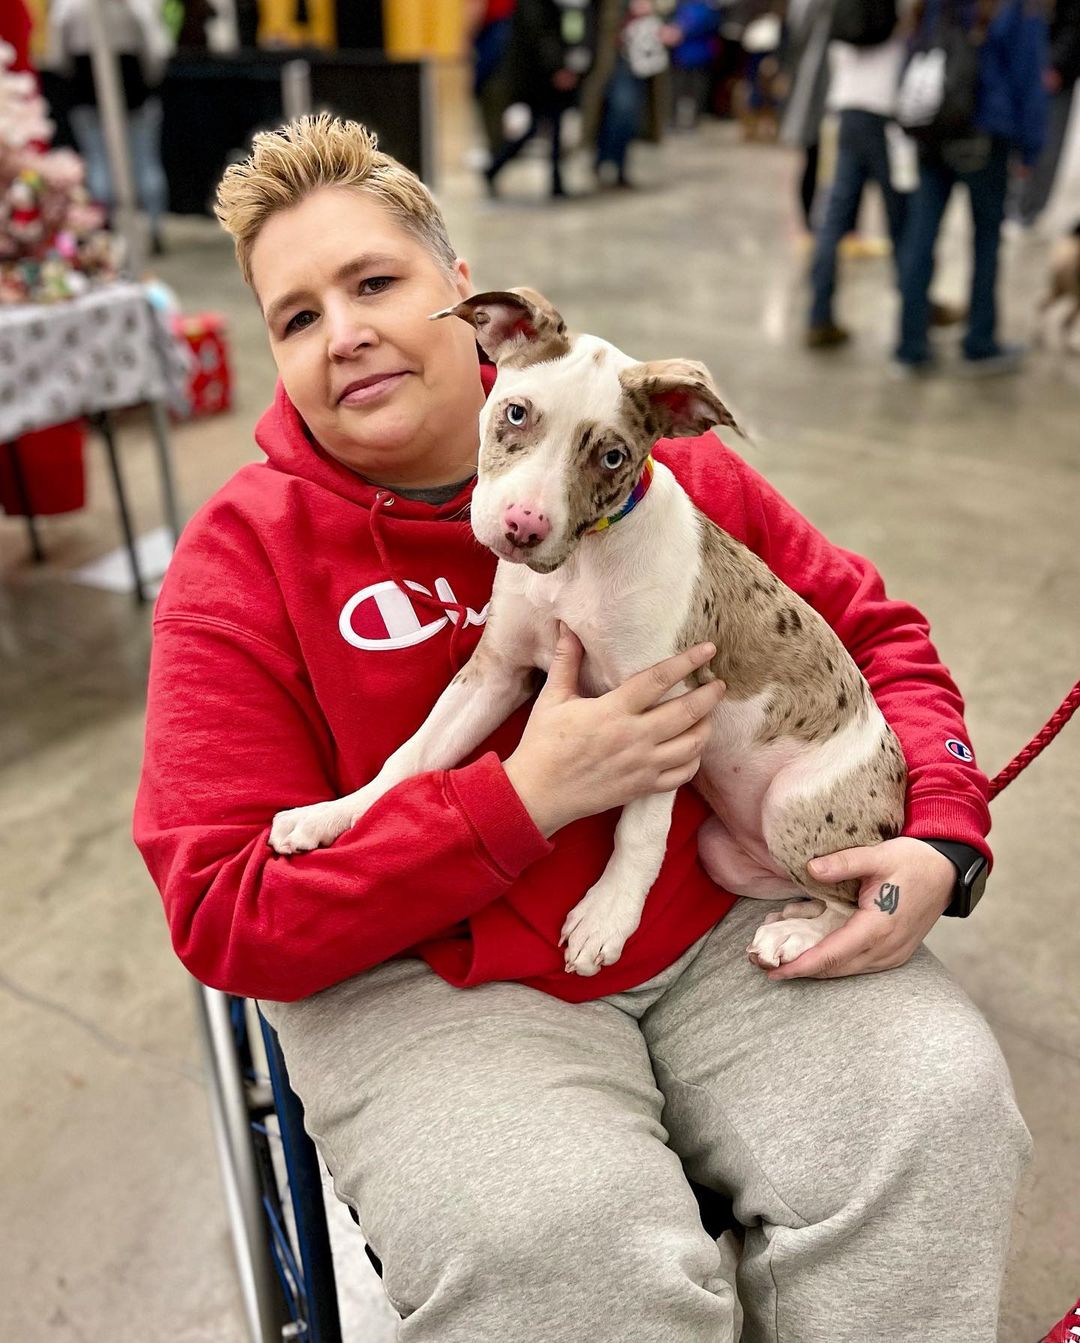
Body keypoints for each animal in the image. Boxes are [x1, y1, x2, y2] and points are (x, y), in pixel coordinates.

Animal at [265, 286, 908, 977]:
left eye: (612, 456)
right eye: (516, 413)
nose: (522, 527)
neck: (578, 569)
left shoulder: (667, 708)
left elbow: (639, 832)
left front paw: (607, 918)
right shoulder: (496, 672)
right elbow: (412, 756)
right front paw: (333, 815)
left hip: (794, 807)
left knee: (853, 896)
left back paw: (798, 937)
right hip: (726, 851)